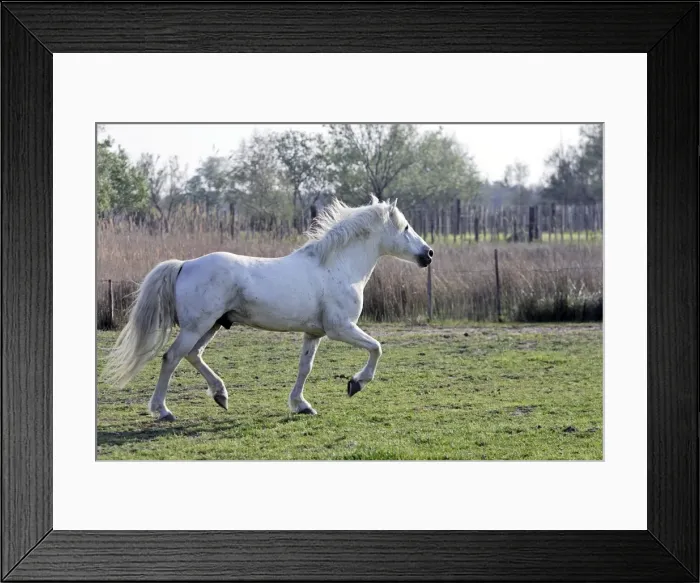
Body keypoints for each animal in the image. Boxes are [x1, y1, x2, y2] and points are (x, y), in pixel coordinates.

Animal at [103, 195, 434, 421]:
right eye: (406, 227)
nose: (428, 254)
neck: (337, 266)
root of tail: (185, 264)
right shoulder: (340, 329)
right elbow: (376, 348)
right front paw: (355, 384)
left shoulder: (314, 333)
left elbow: (305, 367)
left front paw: (302, 405)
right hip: (197, 326)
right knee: (171, 357)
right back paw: (163, 410)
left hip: (211, 325)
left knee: (193, 355)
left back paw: (221, 395)